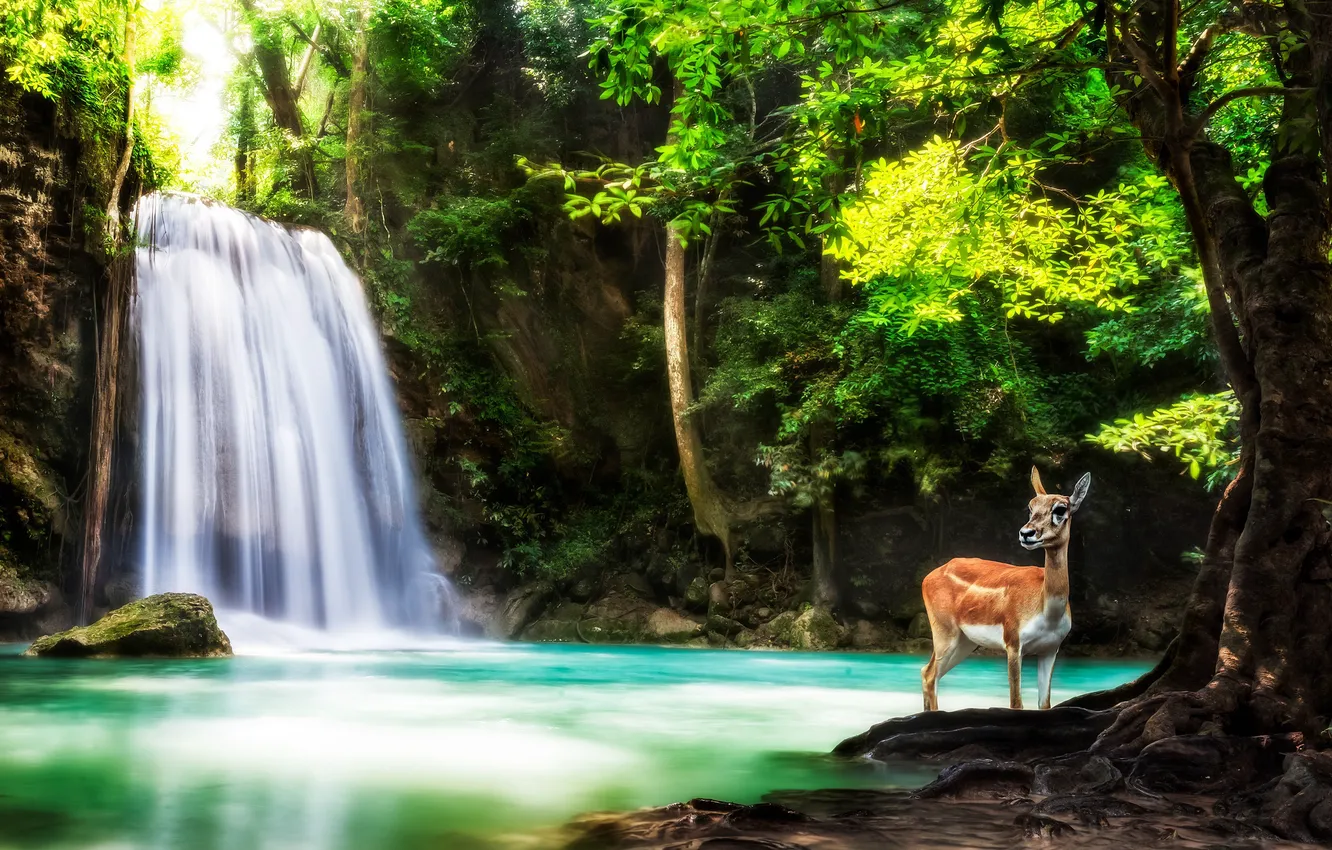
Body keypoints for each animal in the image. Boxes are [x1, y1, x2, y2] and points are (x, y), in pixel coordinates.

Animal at [920, 467, 1090, 712]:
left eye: (1060, 508)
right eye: (1030, 507)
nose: (1026, 533)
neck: (1047, 611)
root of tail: (928, 577)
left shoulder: (1050, 649)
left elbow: (1045, 704)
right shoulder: (1013, 643)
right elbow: (1016, 703)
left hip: (965, 641)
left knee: (928, 673)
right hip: (945, 632)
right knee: (930, 674)